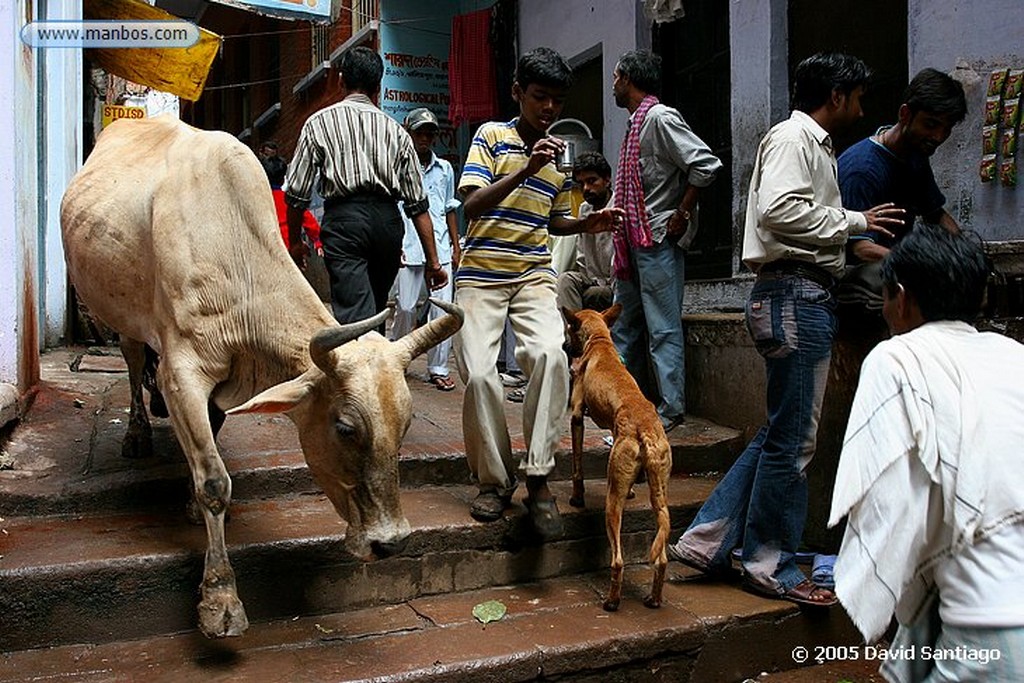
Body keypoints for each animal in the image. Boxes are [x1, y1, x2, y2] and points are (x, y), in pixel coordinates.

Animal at [58, 114, 460, 638]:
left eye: (406, 424)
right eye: (345, 427)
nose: (389, 543)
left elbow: (210, 441)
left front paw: (191, 505)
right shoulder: (181, 371)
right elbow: (214, 481)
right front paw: (220, 599)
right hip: (122, 313)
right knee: (130, 363)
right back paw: (137, 434)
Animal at [561, 307, 671, 610]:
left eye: (568, 329)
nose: (564, 348)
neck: (601, 342)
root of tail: (646, 430)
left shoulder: (577, 414)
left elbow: (577, 467)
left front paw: (577, 498)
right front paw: (633, 490)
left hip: (612, 502)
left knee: (618, 560)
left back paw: (612, 601)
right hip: (660, 493)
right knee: (661, 558)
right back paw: (654, 599)